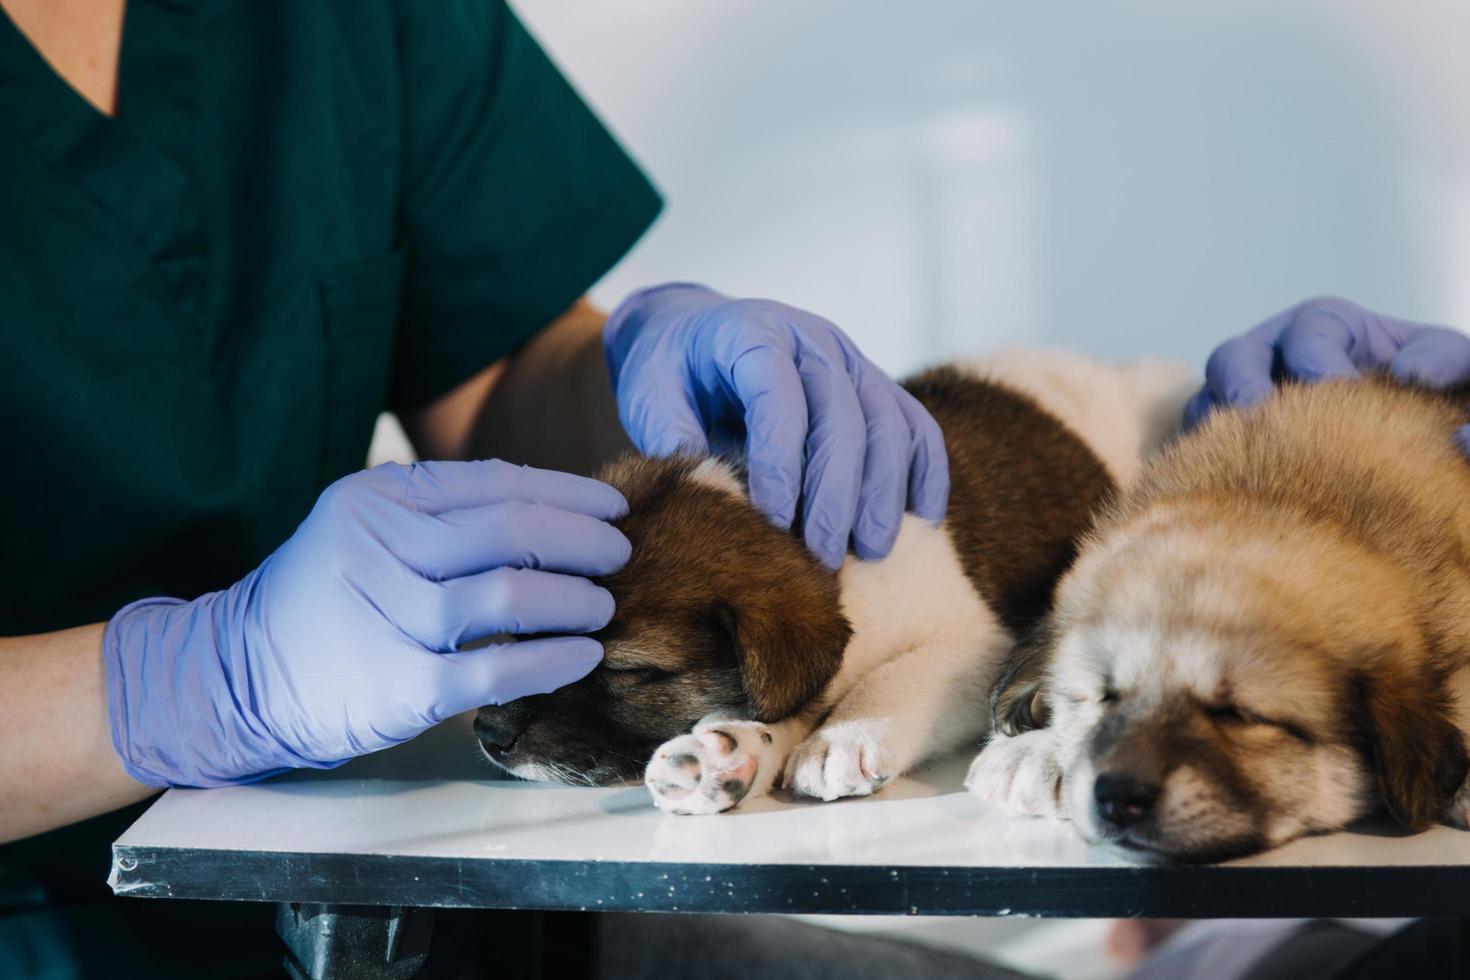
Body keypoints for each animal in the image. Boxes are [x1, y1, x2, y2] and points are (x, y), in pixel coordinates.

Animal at [470, 351, 1193, 811]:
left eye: (625, 671)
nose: (488, 731)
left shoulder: (982, 642)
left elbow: (892, 677)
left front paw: (844, 735)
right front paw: (731, 749)